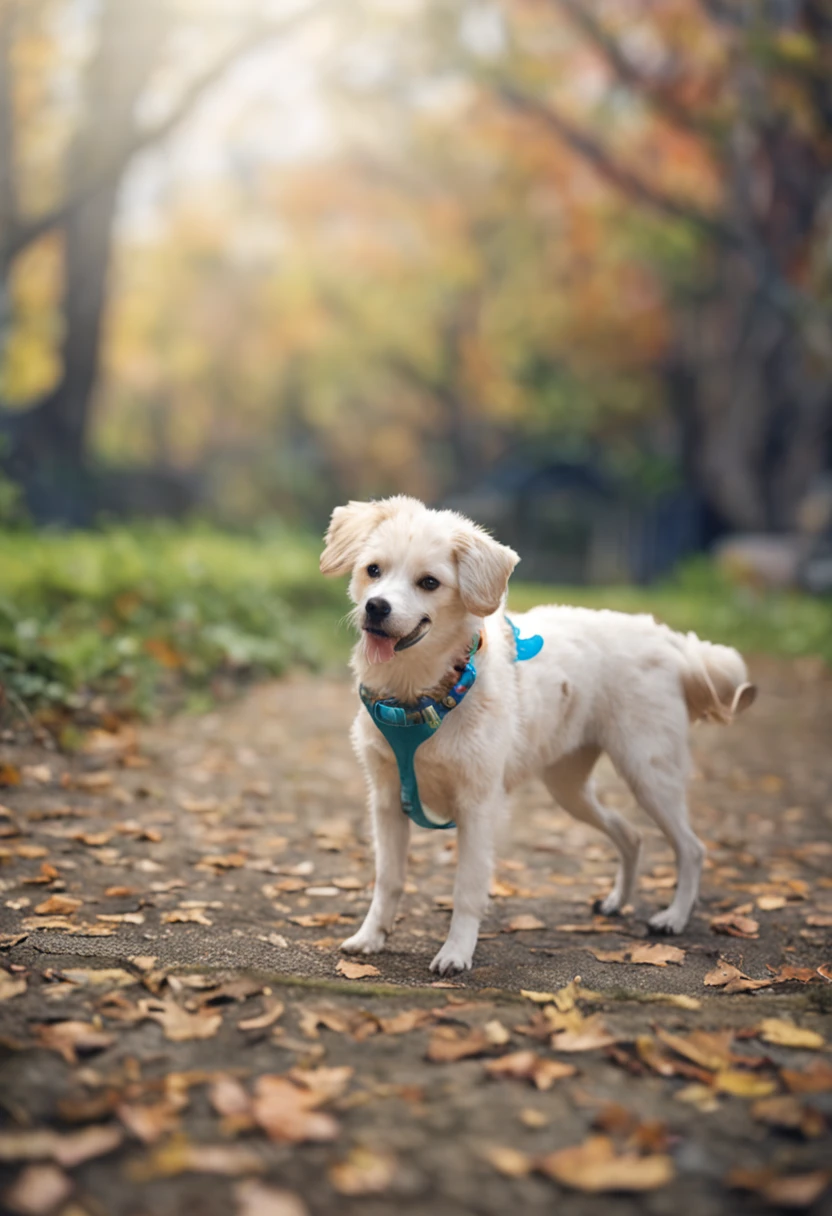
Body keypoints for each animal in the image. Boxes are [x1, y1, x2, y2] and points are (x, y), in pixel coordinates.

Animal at [321, 496, 754, 977]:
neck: (421, 692)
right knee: (631, 835)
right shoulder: (387, 799)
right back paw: (617, 902)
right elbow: (389, 880)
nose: (376, 607)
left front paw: (456, 951)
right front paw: (371, 937)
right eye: (373, 570)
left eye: (429, 582)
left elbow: (467, 888)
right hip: (569, 788)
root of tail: (665, 638)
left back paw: (674, 917)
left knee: (691, 848)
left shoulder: (478, 806)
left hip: (649, 773)